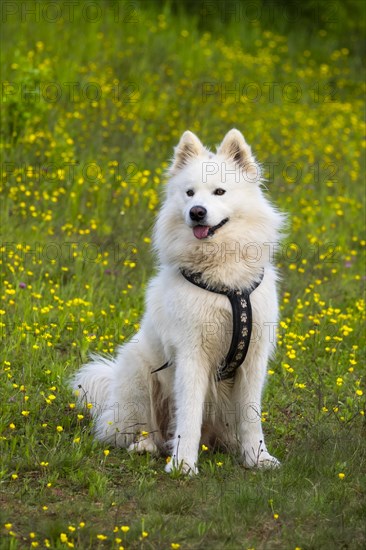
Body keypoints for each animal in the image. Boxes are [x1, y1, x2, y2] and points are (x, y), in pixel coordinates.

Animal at [71, 128, 284, 474]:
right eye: (189, 193)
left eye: (219, 192)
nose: (196, 212)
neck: (223, 282)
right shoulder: (191, 355)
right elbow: (188, 416)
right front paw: (183, 464)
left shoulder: (254, 357)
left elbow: (251, 416)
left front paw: (258, 458)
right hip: (138, 374)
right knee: (143, 429)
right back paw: (145, 446)